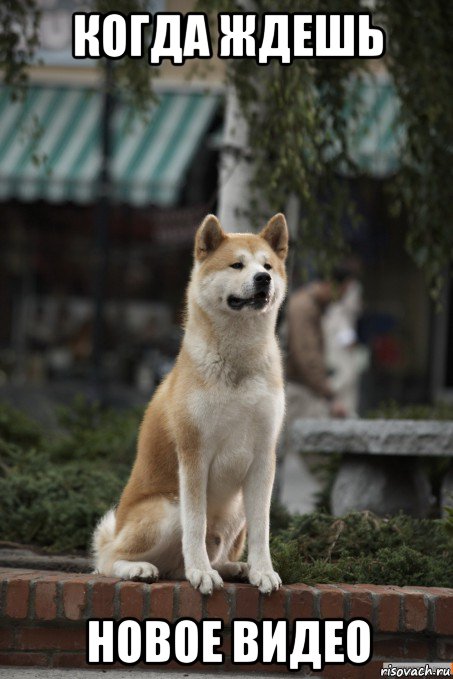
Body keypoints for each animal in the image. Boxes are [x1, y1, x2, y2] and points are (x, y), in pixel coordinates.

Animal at [93, 212, 288, 596]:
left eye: (268, 266)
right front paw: (201, 573)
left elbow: (263, 530)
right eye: (237, 264)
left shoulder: (263, 457)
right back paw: (142, 568)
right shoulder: (194, 454)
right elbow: (195, 526)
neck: (237, 364)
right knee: (108, 560)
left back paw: (235, 568)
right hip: (167, 508)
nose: (263, 279)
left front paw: (263, 571)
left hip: (236, 509)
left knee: (203, 558)